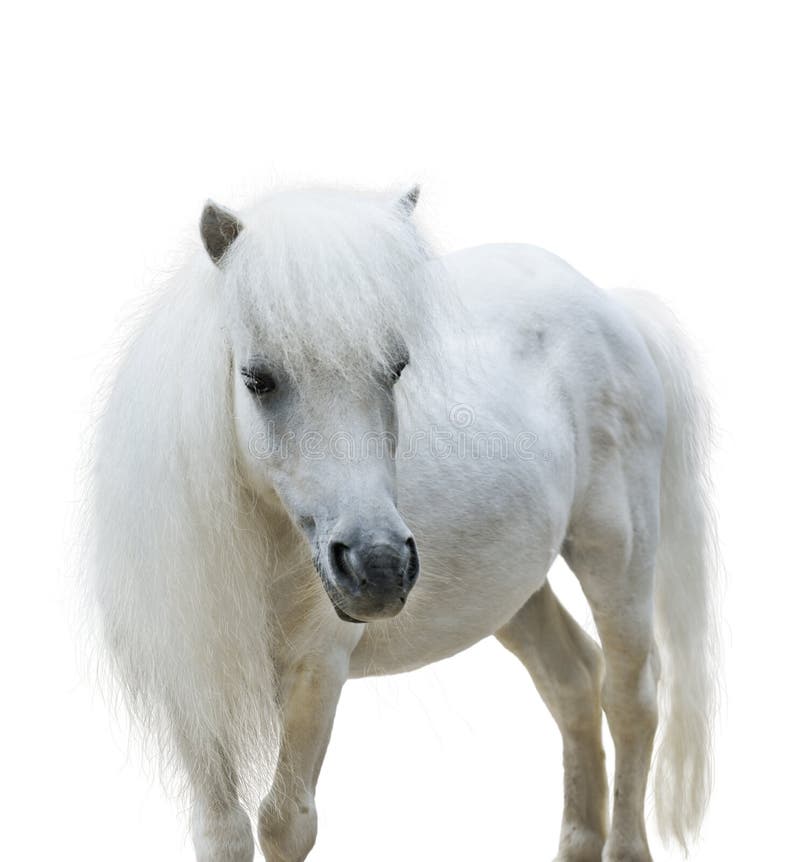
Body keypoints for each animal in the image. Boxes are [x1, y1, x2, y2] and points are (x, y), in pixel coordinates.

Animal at [88, 185, 718, 862]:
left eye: (394, 369)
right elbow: (222, 831)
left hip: (617, 553)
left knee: (630, 698)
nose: (380, 567)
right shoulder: (191, 686)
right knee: (574, 681)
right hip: (514, 591)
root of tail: (609, 303)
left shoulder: (319, 672)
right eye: (257, 378)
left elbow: (286, 823)